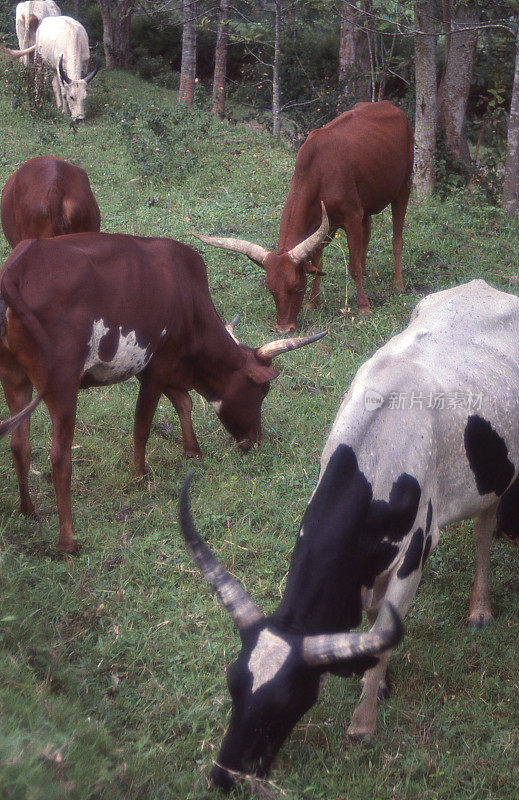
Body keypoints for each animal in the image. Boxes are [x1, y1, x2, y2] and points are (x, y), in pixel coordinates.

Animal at [0, 234, 324, 552]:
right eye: (263, 389)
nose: (255, 440)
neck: (189, 299)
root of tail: (17, 269)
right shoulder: (157, 368)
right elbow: (143, 426)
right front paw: (141, 476)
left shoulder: (166, 370)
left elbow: (184, 401)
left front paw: (192, 450)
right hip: (62, 386)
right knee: (59, 458)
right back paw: (68, 542)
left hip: (15, 379)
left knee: (19, 445)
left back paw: (28, 510)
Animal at [180, 278, 519, 792]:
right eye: (232, 683)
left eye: (288, 701)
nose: (224, 775)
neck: (372, 460)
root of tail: (486, 287)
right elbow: (375, 621)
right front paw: (377, 682)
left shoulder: (415, 554)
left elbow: (382, 631)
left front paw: (364, 721)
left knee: (484, 528)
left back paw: (480, 608)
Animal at [193, 101, 416, 332]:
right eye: (270, 288)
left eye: (296, 285)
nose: (284, 329)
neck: (320, 171)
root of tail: (391, 106)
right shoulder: (322, 225)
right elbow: (317, 263)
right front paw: (312, 303)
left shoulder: (351, 216)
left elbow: (352, 266)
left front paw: (364, 307)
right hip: (368, 204)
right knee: (367, 233)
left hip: (404, 187)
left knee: (397, 239)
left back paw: (398, 284)